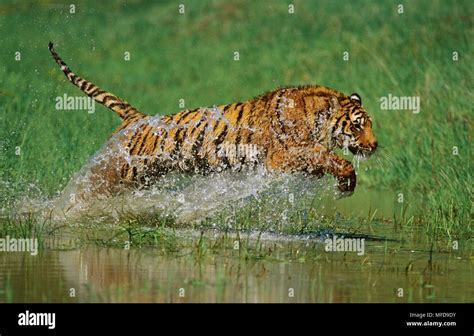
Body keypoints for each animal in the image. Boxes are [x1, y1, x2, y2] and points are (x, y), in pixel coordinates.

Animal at [48, 43, 378, 203]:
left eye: (370, 125)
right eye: (357, 125)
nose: (375, 146)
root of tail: (136, 117)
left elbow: (323, 160)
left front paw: (345, 182)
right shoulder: (281, 156)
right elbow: (325, 155)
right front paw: (347, 177)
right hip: (120, 170)